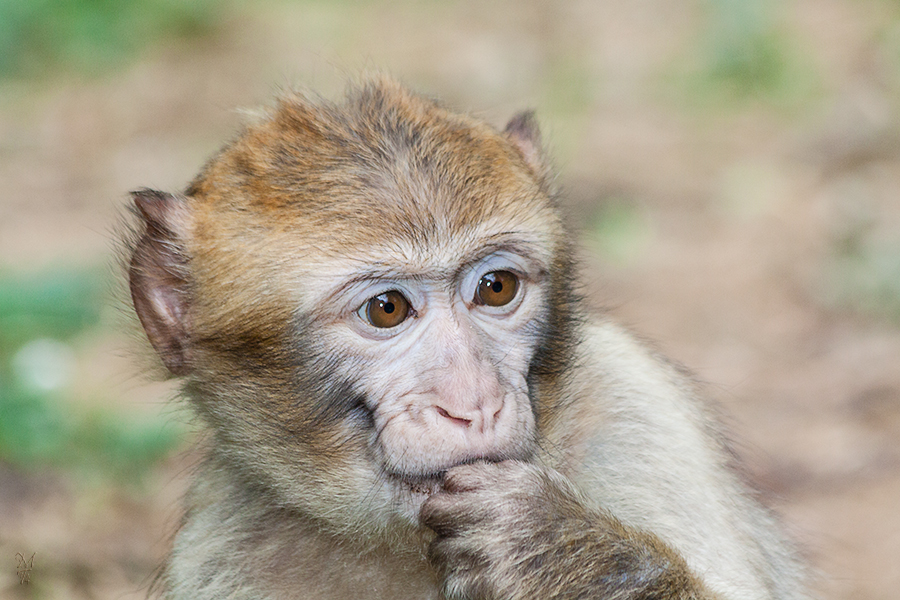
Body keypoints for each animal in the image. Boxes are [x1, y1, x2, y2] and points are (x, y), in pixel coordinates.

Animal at [130, 79, 812, 600]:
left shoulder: (637, 414)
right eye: (386, 309)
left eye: (495, 287)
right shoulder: (229, 543)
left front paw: (547, 547)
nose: (475, 403)